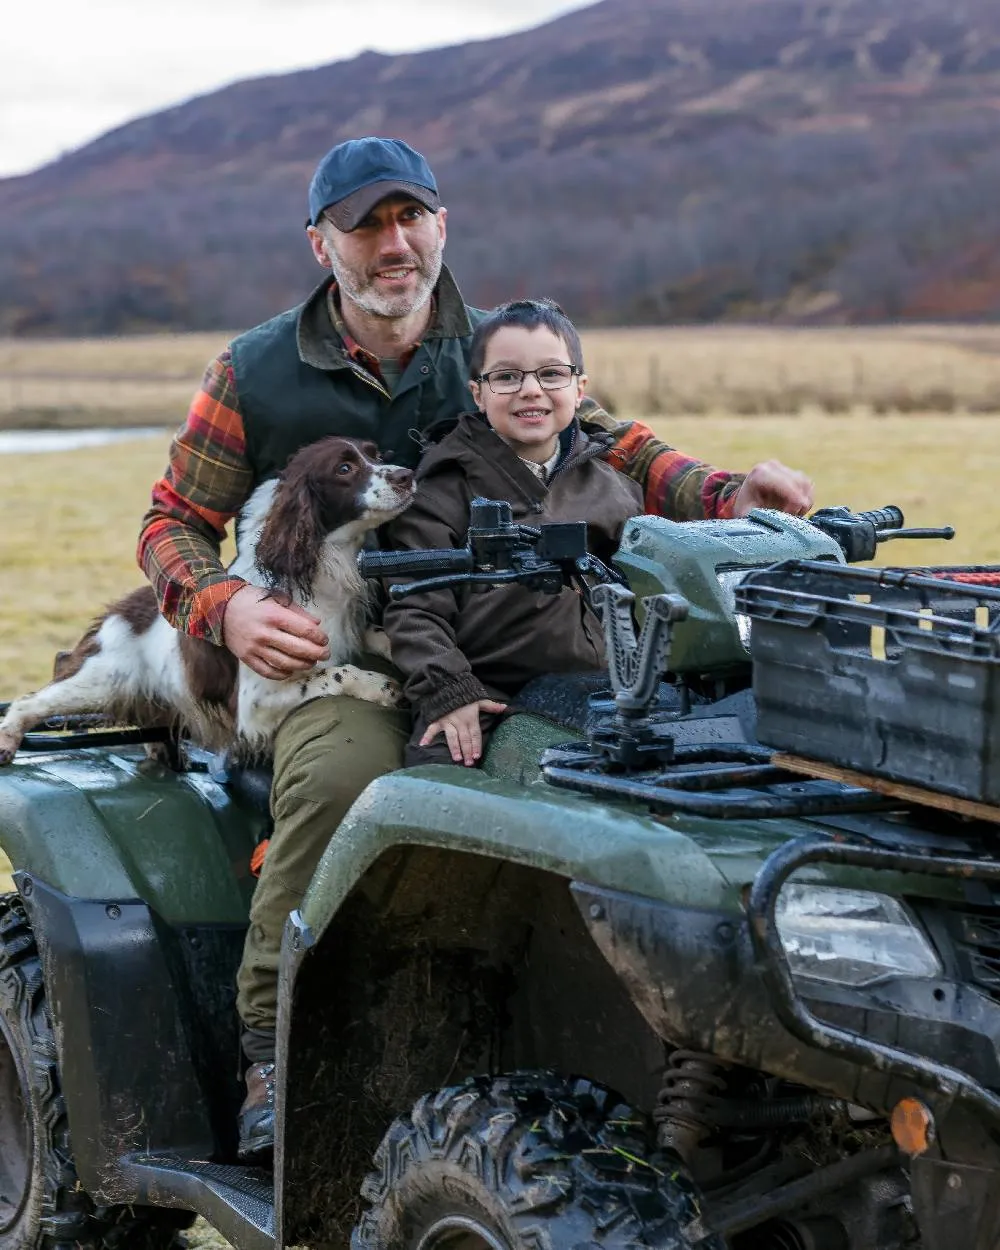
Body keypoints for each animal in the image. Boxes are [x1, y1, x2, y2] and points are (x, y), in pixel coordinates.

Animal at [0, 435, 415, 765]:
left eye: (376, 455)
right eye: (344, 468)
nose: (406, 475)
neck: (318, 570)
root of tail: (115, 612)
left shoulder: (347, 628)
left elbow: (377, 635)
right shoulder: (254, 704)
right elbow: (337, 673)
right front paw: (382, 687)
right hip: (100, 679)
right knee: (30, 699)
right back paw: (7, 741)